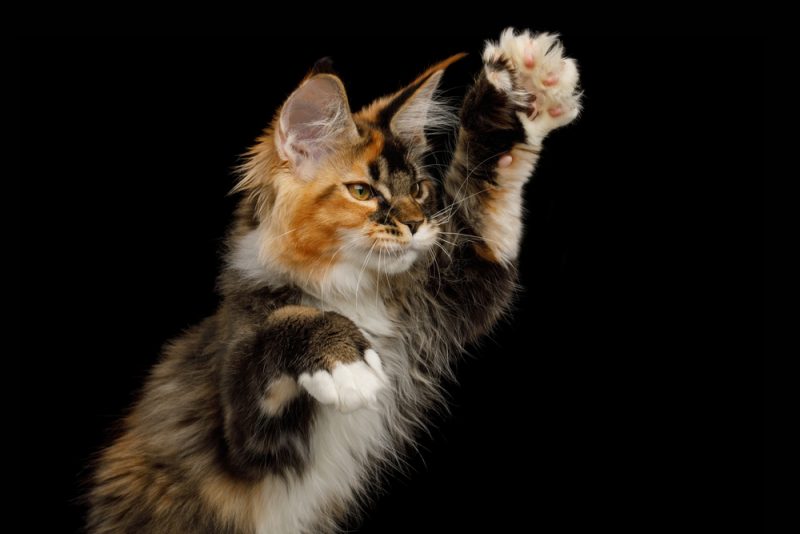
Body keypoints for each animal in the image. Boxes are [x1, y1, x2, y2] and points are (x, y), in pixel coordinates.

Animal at [89, 30, 580, 534]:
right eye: (362, 191)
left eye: (418, 189)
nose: (417, 225)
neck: (350, 291)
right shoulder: (243, 433)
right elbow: (284, 323)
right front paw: (347, 363)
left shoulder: (456, 291)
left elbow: (485, 205)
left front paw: (523, 85)